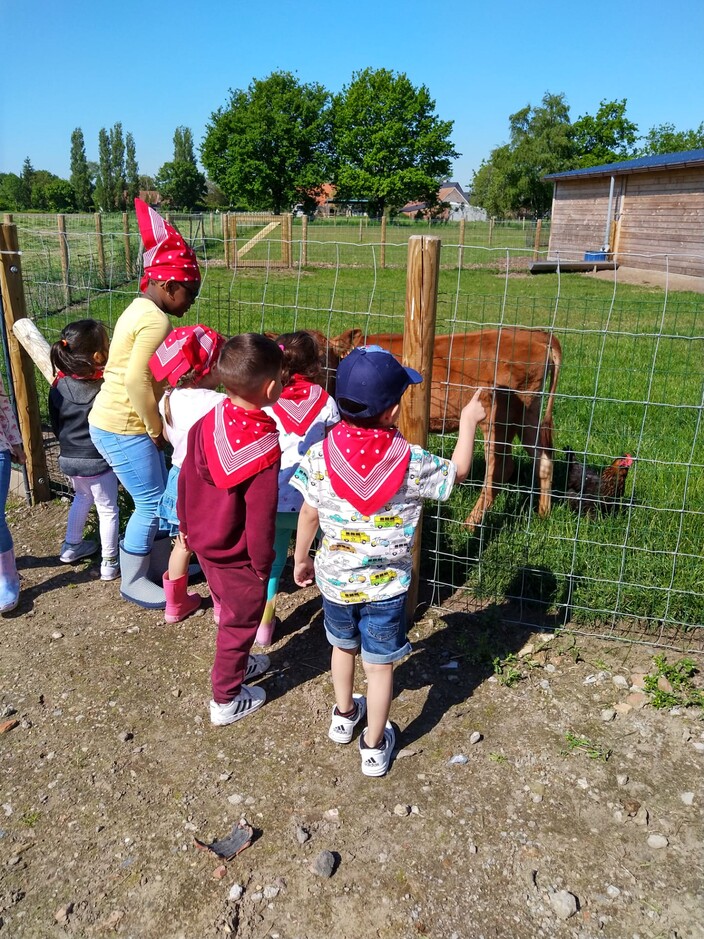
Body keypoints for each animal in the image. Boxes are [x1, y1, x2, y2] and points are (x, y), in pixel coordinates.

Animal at [332, 326, 564, 528]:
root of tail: (537, 335)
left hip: (499, 416)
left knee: (500, 468)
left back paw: (469, 525)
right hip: (528, 411)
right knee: (543, 457)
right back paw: (544, 514)